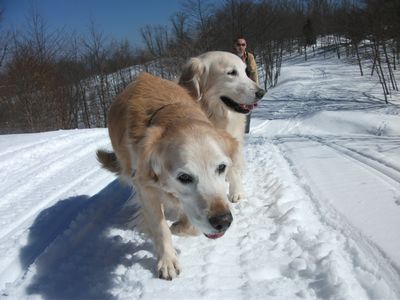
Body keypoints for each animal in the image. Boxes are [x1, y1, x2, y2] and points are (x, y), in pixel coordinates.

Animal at [96, 72, 238, 278]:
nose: (223, 222)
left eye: (221, 167)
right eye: (184, 177)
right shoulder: (145, 188)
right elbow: (161, 228)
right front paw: (167, 260)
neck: (173, 115)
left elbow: (189, 225)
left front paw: (178, 227)